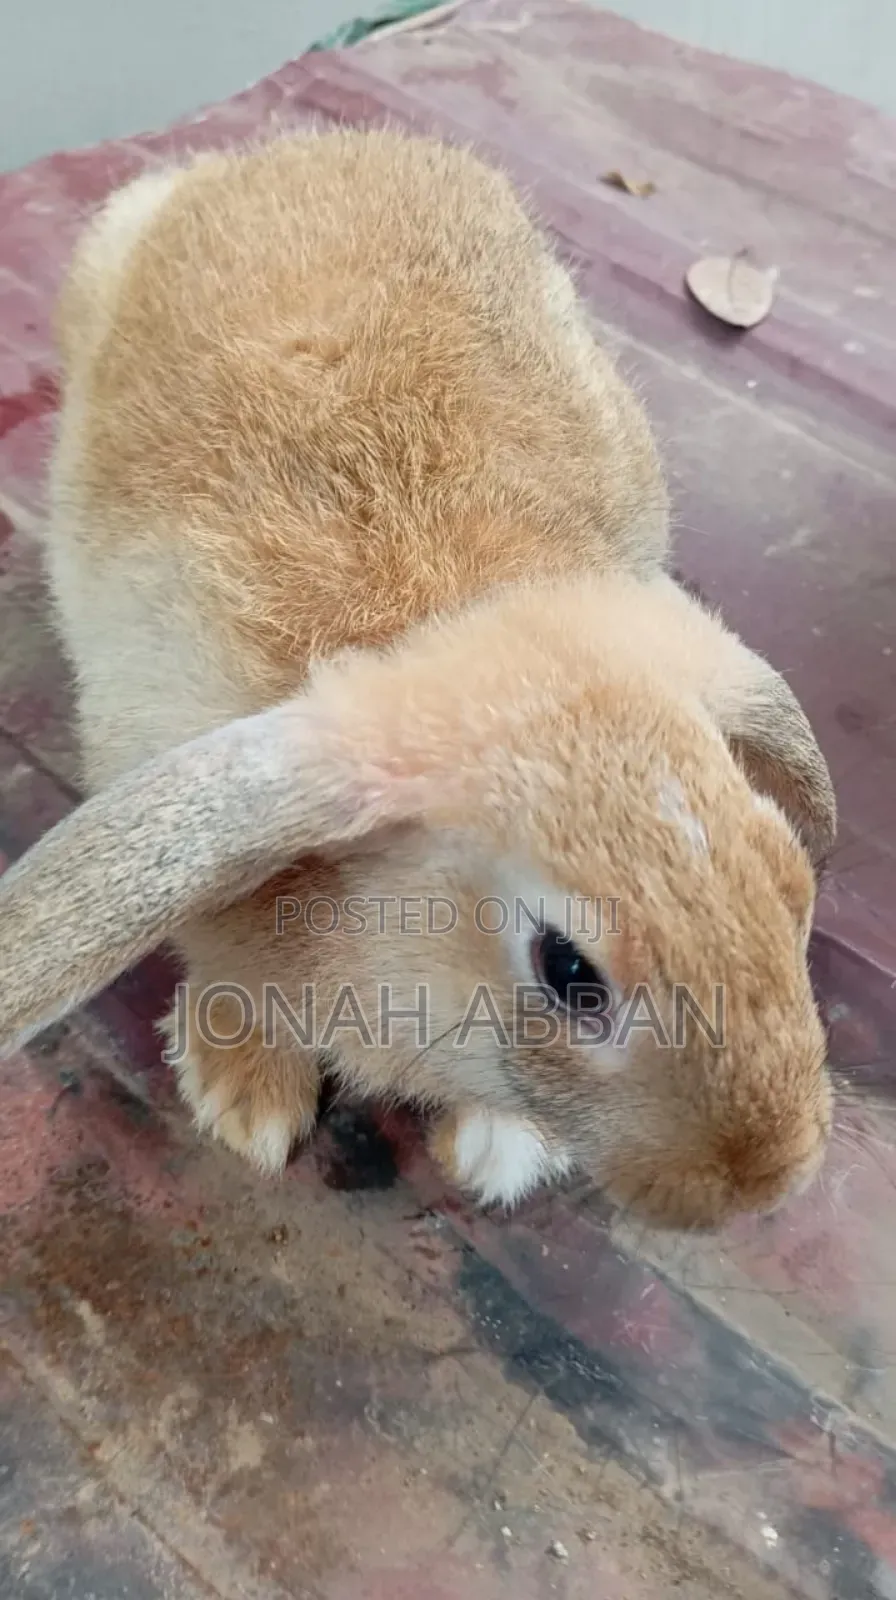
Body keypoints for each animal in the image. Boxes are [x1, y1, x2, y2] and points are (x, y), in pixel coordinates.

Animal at [0, 128, 836, 1229]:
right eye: (570, 972)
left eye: (790, 878)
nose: (761, 1180)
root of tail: (307, 146)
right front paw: (244, 1097)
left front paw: (500, 1149)